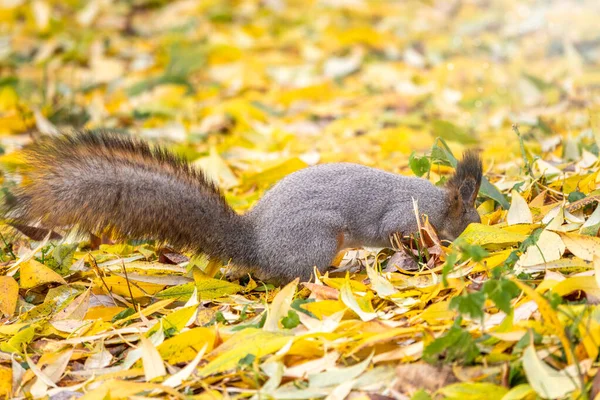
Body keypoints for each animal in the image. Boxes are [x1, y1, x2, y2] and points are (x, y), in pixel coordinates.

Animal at [3, 130, 482, 282]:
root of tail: (255, 244)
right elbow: (396, 233)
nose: (483, 226)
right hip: (317, 238)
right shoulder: (403, 216)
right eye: (471, 217)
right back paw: (337, 272)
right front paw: (422, 252)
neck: (438, 202)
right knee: (298, 276)